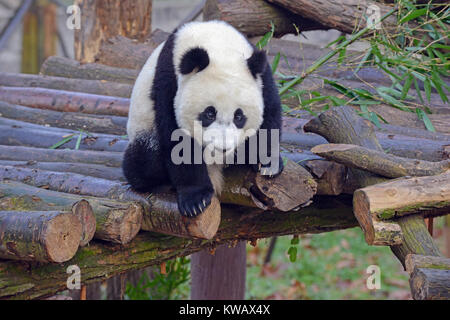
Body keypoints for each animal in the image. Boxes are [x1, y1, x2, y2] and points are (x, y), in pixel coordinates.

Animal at [122, 20, 284, 218]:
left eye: (239, 116)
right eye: (209, 113)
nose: (223, 147)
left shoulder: (261, 77)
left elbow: (270, 114)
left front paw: (267, 163)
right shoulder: (168, 82)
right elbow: (178, 140)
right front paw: (195, 200)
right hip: (143, 127)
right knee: (144, 160)